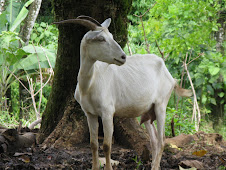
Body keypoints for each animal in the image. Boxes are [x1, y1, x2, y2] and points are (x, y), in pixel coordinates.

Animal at [53, 16, 192, 170]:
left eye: (112, 36)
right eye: (101, 38)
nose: (123, 57)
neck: (90, 84)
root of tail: (169, 75)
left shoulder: (107, 113)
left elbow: (106, 145)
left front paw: (108, 168)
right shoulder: (89, 114)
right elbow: (93, 144)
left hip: (161, 105)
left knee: (162, 141)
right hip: (148, 111)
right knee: (154, 140)